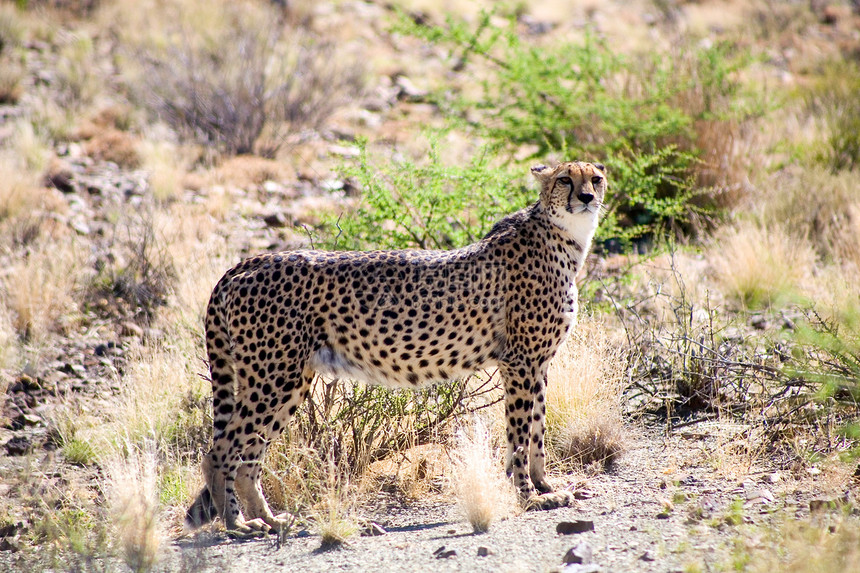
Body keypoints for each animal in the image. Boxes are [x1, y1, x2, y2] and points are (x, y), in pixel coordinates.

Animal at [186, 160, 604, 532]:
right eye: (565, 179)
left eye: (596, 178)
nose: (585, 197)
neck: (564, 236)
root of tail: (250, 261)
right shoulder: (519, 361)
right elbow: (519, 435)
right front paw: (528, 497)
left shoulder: (538, 363)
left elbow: (537, 430)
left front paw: (546, 487)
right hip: (274, 377)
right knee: (221, 451)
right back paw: (237, 523)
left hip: (285, 380)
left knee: (248, 457)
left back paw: (268, 519)